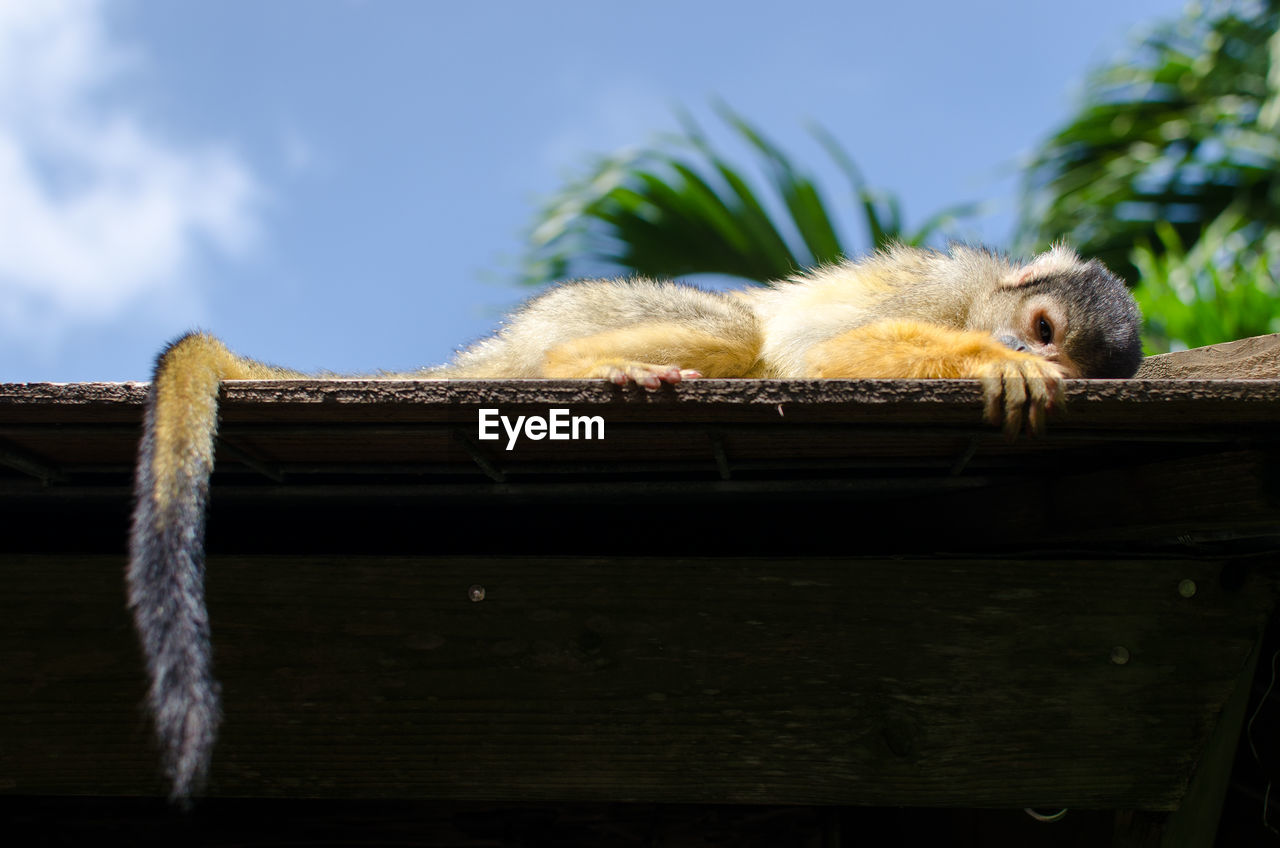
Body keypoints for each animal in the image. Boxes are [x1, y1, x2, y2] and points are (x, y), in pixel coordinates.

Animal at [129, 240, 1146, 804]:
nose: (1019, 344)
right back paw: (587, 368)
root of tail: (504, 343)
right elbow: (822, 351)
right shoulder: (947, 286)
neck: (982, 295)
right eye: (1042, 329)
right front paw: (992, 364)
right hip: (586, 306)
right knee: (743, 329)